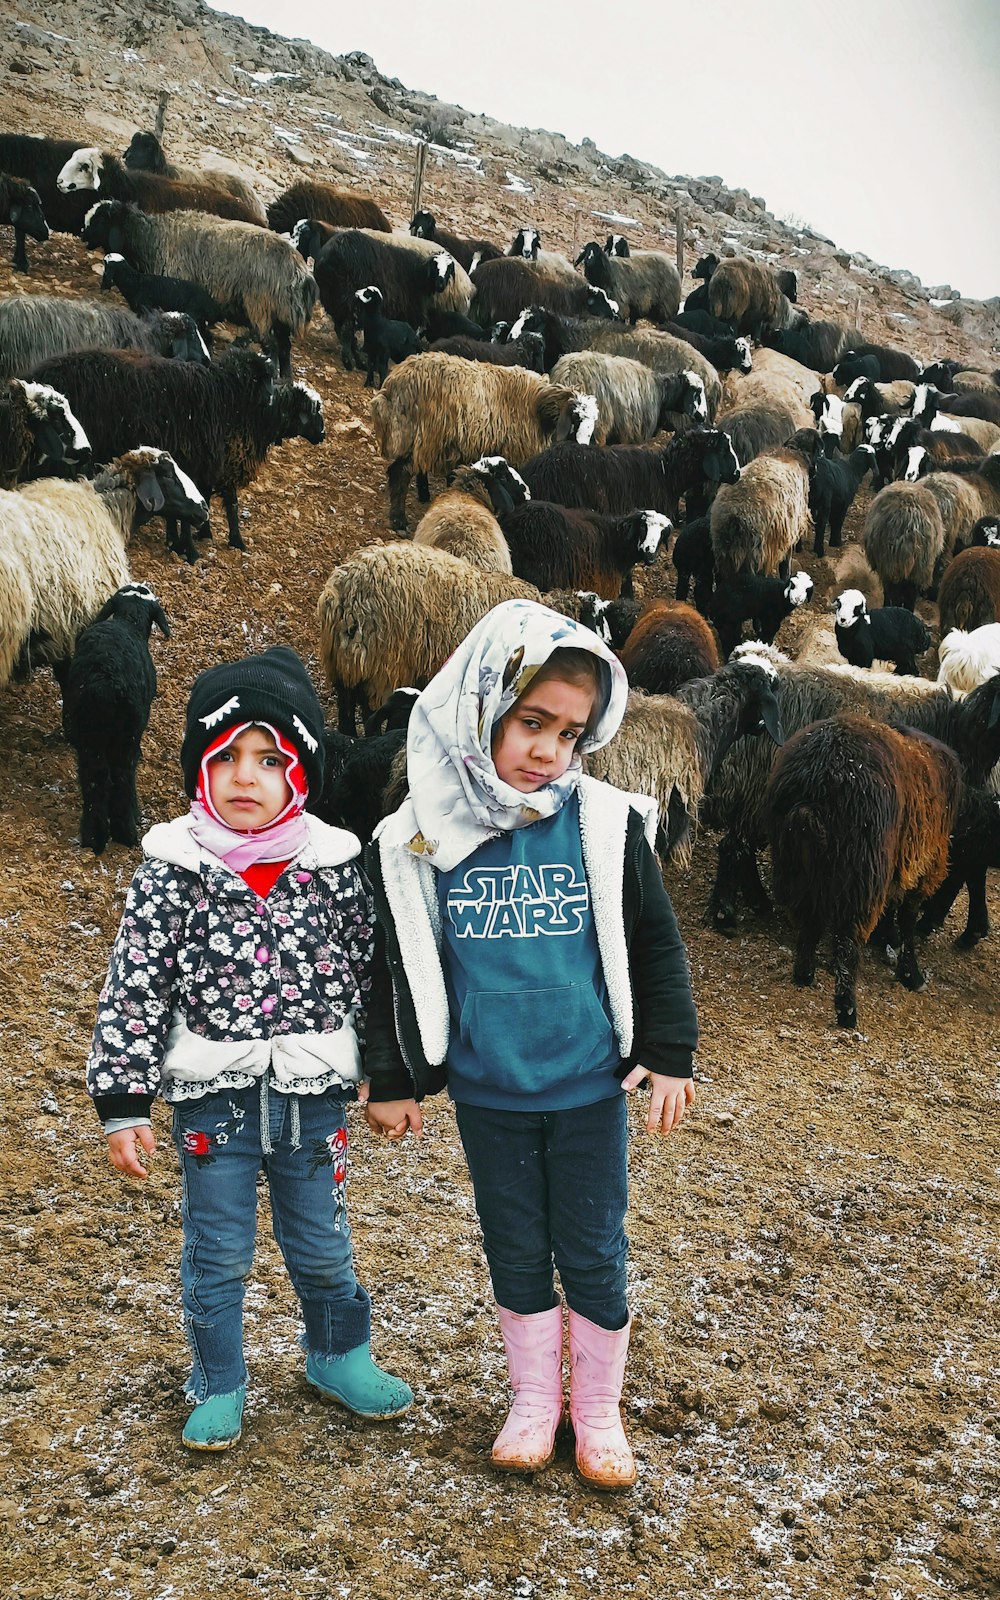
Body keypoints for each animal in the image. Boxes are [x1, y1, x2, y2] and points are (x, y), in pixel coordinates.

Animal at [80, 201, 315, 382]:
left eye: (100, 219)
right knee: (283, 347)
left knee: (270, 344)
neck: (150, 239)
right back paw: (286, 378)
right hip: (281, 315)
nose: (82, 235)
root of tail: (301, 274)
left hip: (260, 305)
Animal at [371, 352, 595, 531]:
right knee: (399, 473)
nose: (583, 451)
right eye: (575, 420)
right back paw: (399, 521)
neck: (536, 404)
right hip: (425, 437)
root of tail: (391, 386)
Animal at [550, 352, 707, 444]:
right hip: (597, 425)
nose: (704, 415)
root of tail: (569, 375)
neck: (660, 392)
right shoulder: (636, 433)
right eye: (698, 391)